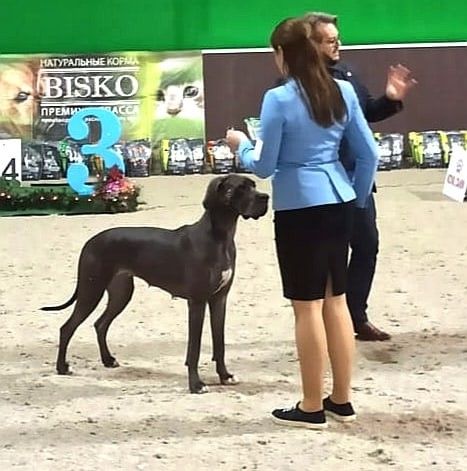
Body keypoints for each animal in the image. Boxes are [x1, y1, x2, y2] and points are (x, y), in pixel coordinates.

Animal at [41, 174, 269, 393]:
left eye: (253, 185)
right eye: (239, 188)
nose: (265, 197)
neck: (220, 238)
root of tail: (90, 241)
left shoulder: (219, 299)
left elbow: (219, 343)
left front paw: (225, 376)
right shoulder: (197, 302)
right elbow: (194, 349)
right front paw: (196, 385)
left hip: (121, 293)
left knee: (100, 324)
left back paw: (108, 360)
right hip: (92, 289)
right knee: (67, 327)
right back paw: (62, 367)